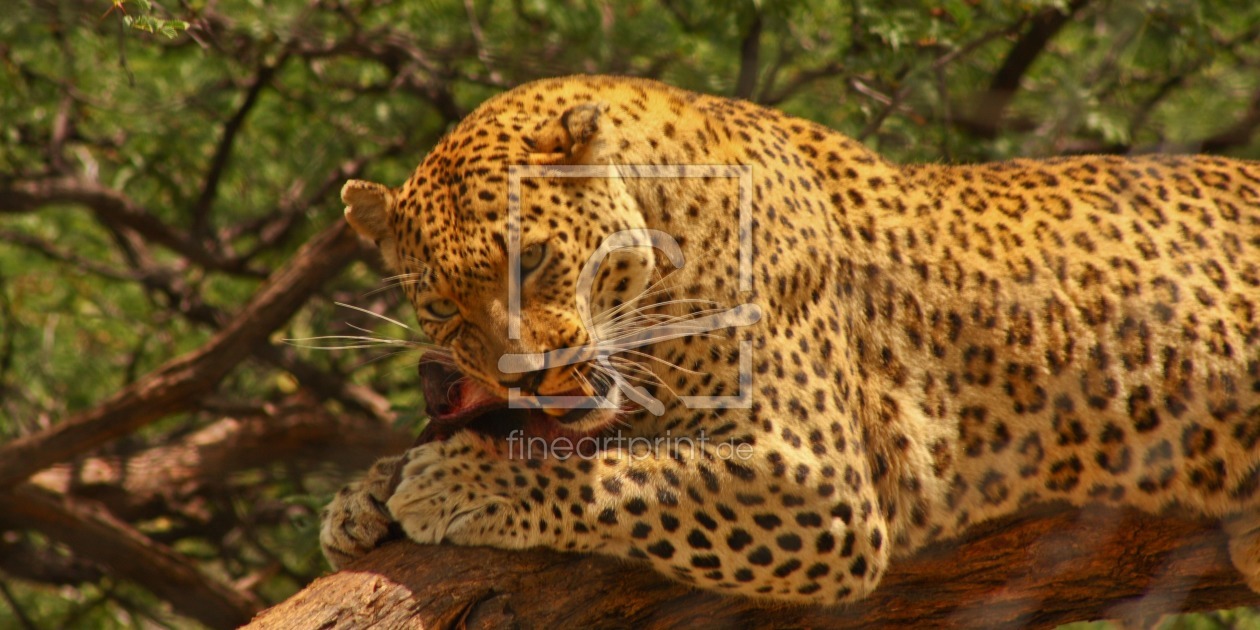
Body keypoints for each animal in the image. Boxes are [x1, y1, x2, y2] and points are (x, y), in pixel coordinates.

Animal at [320, 73, 1260, 604]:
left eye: (536, 258)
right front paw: (364, 495)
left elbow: (626, 474)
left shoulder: (824, 481)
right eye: (444, 310)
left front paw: (456, 481)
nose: (525, 372)